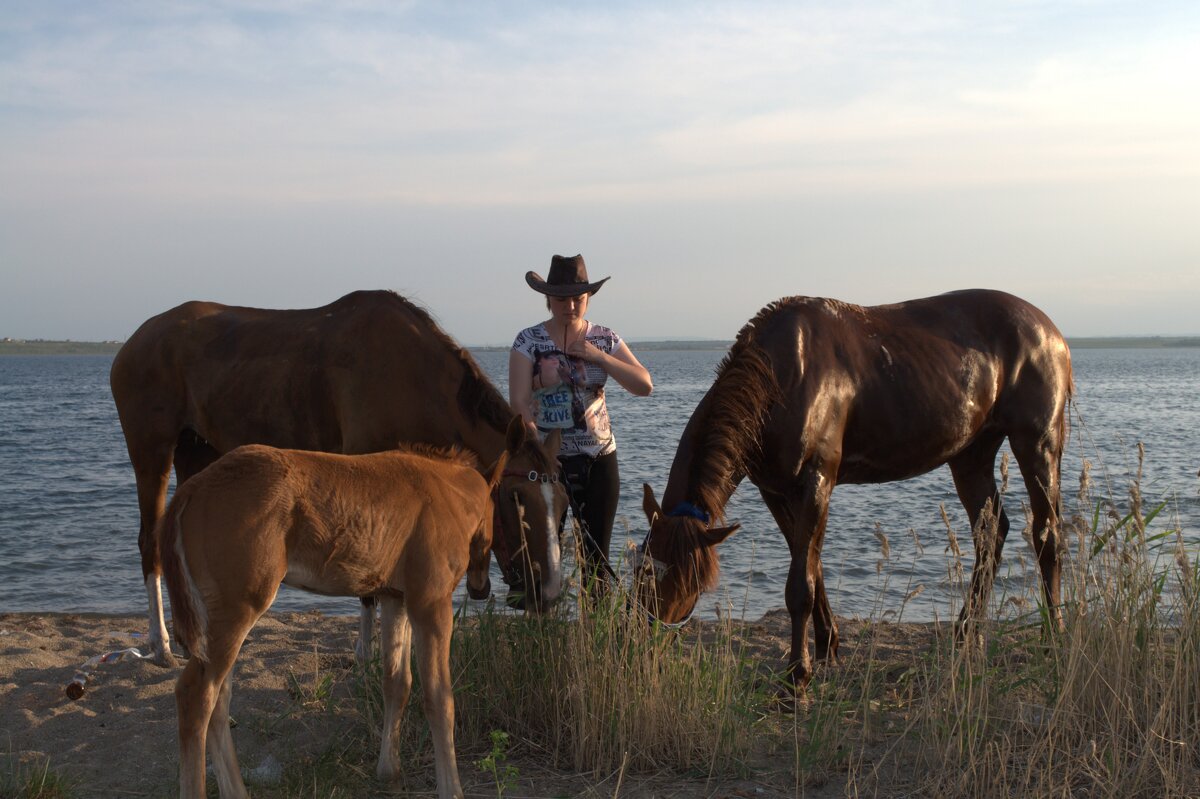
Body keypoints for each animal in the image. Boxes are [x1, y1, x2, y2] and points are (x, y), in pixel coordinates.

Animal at [111, 290, 568, 666]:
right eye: (515, 498)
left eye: (563, 506)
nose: (549, 593)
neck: (407, 371)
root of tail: (133, 341)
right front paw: (367, 654)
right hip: (152, 452)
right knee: (150, 542)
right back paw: (160, 644)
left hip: (197, 451)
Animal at [160, 432, 538, 799]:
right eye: (504, 511)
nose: (481, 587)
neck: (446, 493)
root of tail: (190, 490)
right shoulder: (431, 603)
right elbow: (439, 696)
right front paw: (451, 788)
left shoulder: (395, 598)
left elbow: (397, 683)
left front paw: (389, 772)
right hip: (237, 610)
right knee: (196, 696)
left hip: (217, 619)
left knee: (219, 701)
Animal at [635, 289, 1073, 690]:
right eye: (642, 568)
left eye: (688, 580)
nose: (641, 640)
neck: (784, 374)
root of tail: (1050, 331)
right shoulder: (776, 492)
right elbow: (810, 565)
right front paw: (827, 646)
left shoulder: (816, 481)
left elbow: (801, 583)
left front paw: (797, 677)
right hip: (971, 454)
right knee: (991, 533)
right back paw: (966, 634)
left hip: (1038, 442)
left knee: (1046, 534)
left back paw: (1053, 635)